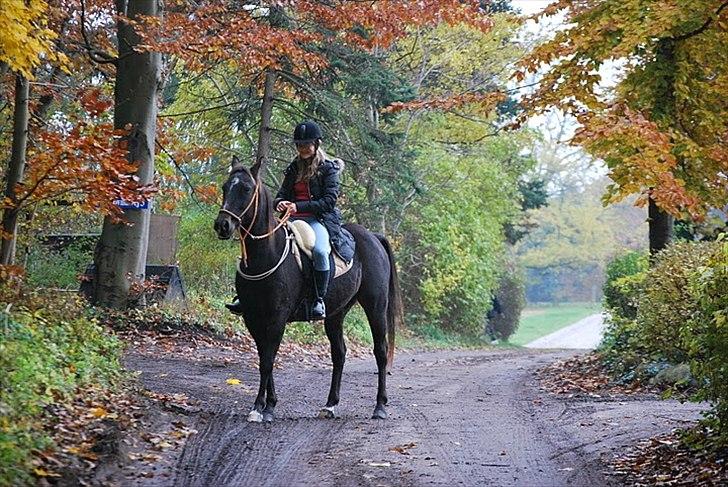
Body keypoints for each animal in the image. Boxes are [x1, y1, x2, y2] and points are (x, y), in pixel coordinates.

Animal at [210, 157, 404, 424]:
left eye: (246, 189)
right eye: (225, 187)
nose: (222, 225)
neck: (267, 254)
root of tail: (373, 237)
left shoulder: (277, 318)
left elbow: (267, 360)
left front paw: (261, 408)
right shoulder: (253, 317)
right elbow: (264, 358)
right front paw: (269, 404)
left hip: (375, 306)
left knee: (381, 352)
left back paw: (380, 406)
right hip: (336, 313)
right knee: (339, 354)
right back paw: (330, 405)